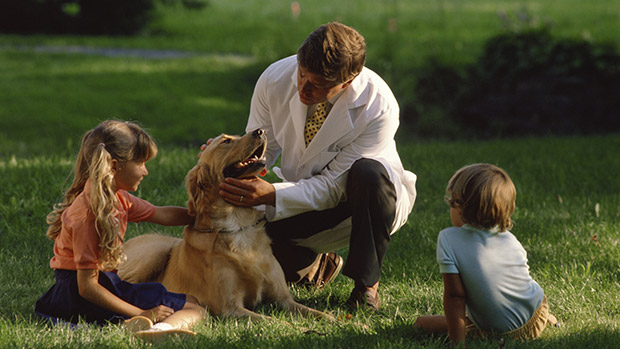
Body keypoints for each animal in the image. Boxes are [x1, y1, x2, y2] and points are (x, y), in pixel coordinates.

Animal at [119, 128, 336, 320]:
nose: (261, 131)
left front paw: (336, 322)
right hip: (152, 255)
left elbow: (316, 314)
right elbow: (275, 321)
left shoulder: (283, 299)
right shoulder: (229, 308)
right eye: (226, 141)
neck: (237, 222)